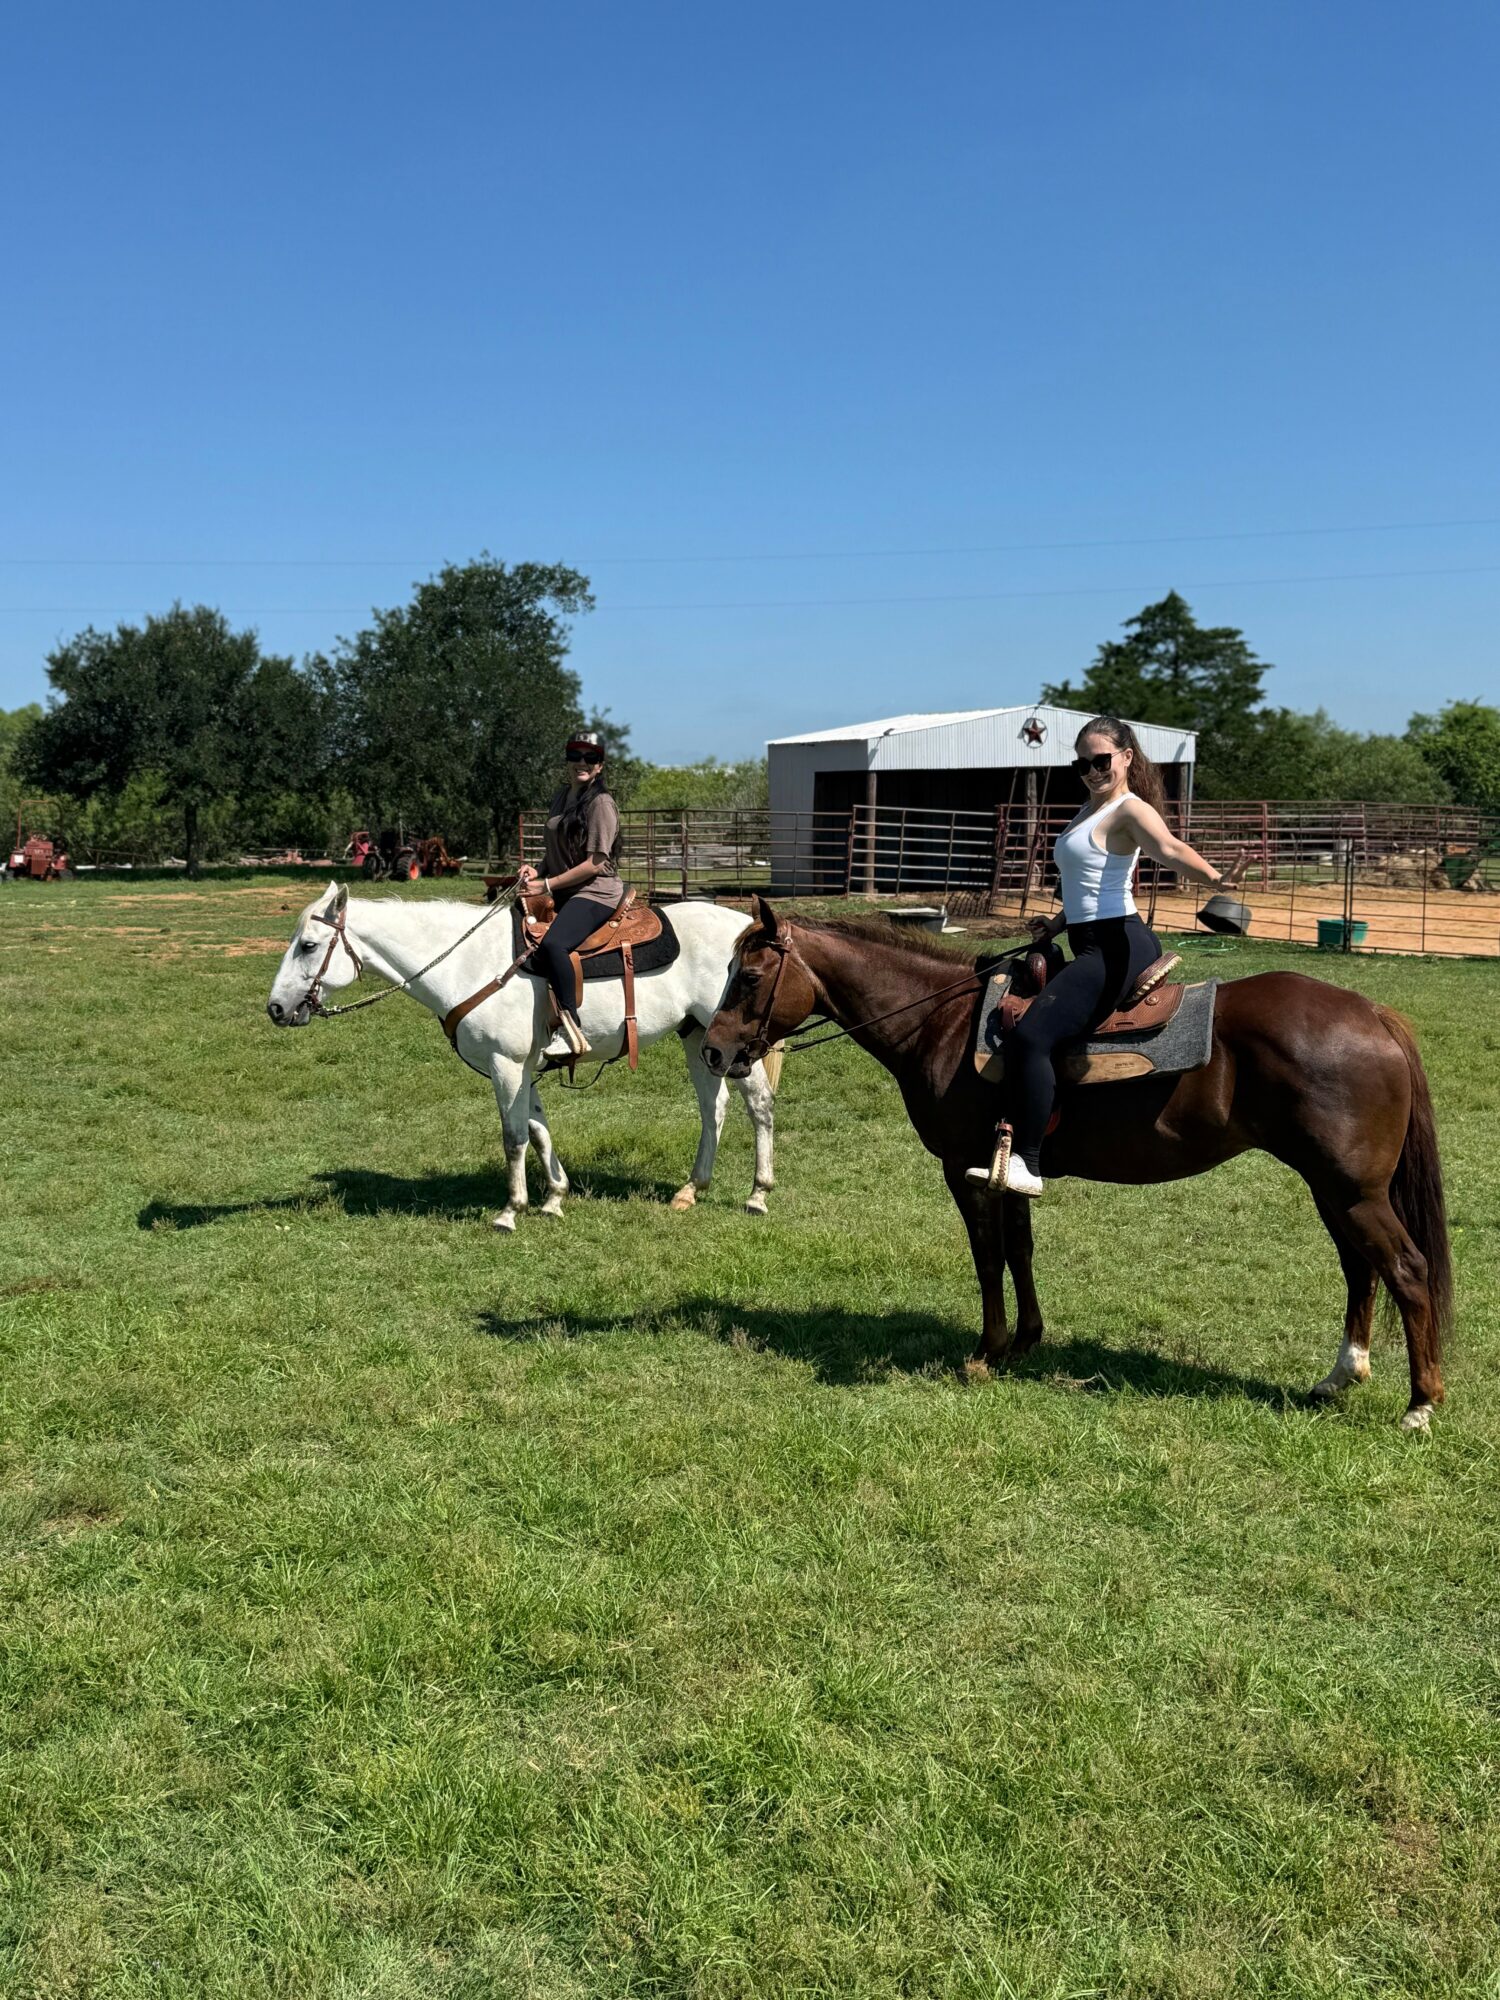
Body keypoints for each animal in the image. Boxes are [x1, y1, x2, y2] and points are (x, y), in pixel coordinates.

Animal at [266, 883, 777, 1230]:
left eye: (308, 946)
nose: (276, 1009)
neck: (468, 962)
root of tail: (744, 929)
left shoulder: (506, 1064)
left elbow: (513, 1136)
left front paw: (511, 1210)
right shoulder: (526, 1067)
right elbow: (538, 1129)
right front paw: (554, 1198)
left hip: (736, 1045)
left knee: (758, 1105)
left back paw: (758, 1194)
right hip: (699, 1039)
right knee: (713, 1107)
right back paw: (691, 1190)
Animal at [700, 900, 1453, 1430]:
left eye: (752, 976)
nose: (713, 1050)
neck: (943, 1025)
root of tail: (1373, 1013)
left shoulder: (963, 1169)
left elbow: (988, 1256)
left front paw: (988, 1351)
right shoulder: (1009, 1167)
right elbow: (1021, 1250)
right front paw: (1027, 1341)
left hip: (1352, 1192)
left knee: (1406, 1271)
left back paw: (1420, 1404)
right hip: (1335, 1189)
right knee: (1360, 1270)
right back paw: (1340, 1376)